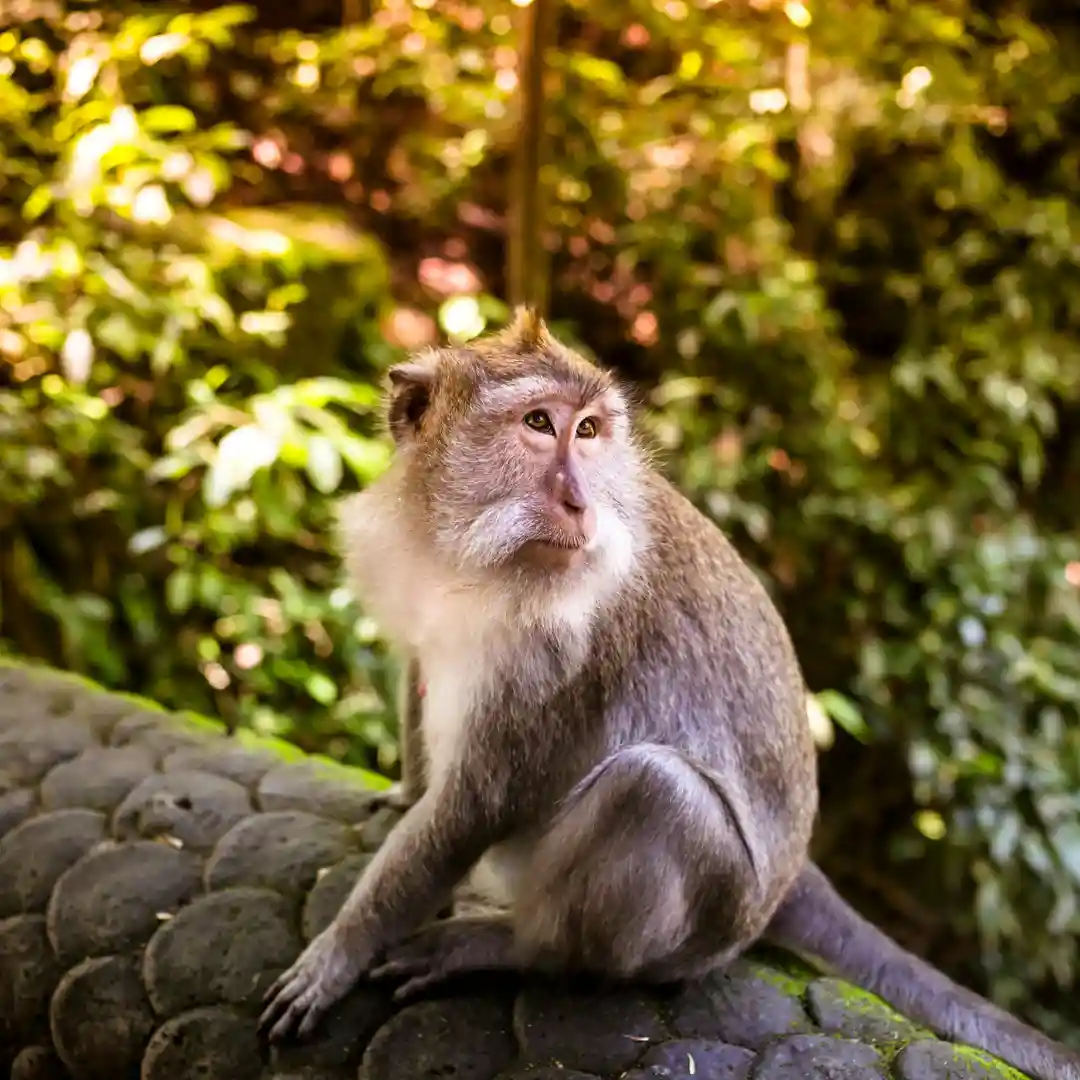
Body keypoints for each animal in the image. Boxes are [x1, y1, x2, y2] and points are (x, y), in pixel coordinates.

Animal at [260, 310, 1080, 1080]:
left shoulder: (555, 649)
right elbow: (421, 671)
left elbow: (477, 803)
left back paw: (520, 945)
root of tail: (791, 876)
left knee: (651, 789)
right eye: (539, 424)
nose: (580, 502)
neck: (468, 553)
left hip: (713, 919)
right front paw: (405, 793)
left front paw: (338, 953)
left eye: (589, 431)